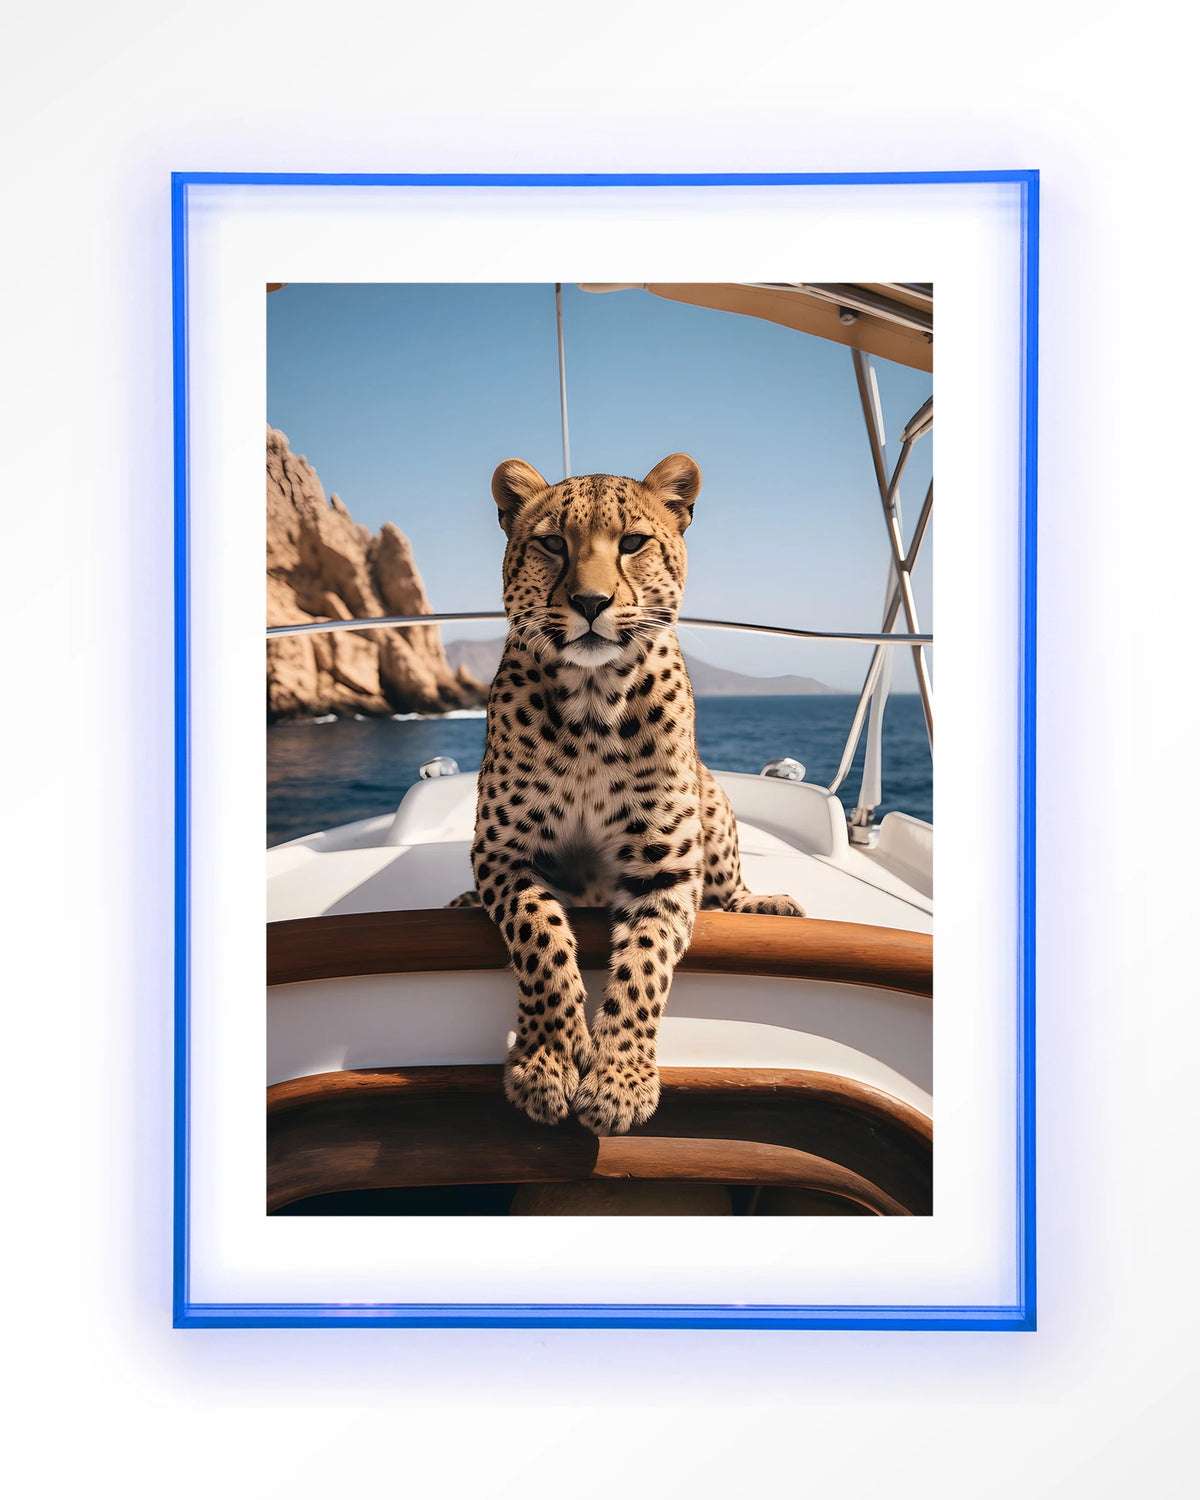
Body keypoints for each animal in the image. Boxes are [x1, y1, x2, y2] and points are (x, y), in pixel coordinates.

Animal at [447, 453, 805, 1137]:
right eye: (553, 544)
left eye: (633, 543)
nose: (591, 601)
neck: (592, 704)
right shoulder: (503, 852)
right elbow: (541, 938)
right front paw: (549, 1062)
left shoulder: (664, 867)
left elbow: (643, 967)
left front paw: (618, 1082)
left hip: (713, 799)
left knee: (727, 889)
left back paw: (764, 906)